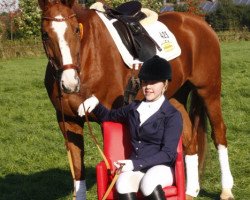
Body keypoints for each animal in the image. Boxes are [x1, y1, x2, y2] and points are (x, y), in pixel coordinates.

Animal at [38, 0, 233, 200]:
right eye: (45, 34)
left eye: (77, 30)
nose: (70, 83)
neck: (89, 58)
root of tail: (199, 22)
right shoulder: (68, 122)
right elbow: (78, 169)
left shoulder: (109, 120)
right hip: (175, 98)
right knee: (189, 140)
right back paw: (190, 191)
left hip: (209, 91)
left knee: (219, 133)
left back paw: (226, 190)